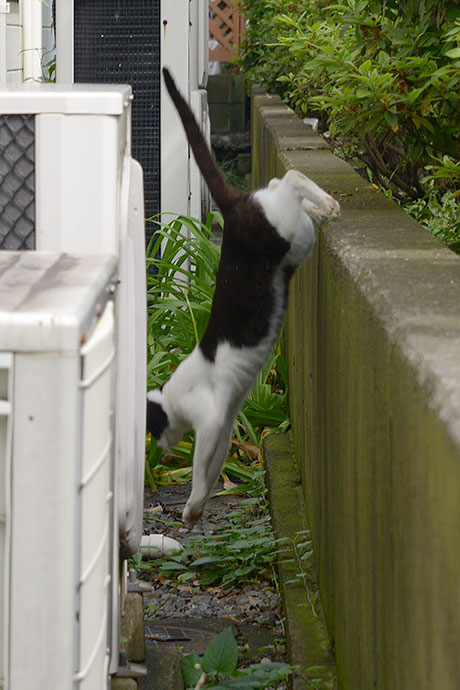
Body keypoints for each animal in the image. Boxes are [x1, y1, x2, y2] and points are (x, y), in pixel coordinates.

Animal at [148, 67, 342, 524]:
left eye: (151, 429)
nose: (160, 449)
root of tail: (234, 210)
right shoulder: (225, 425)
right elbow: (213, 466)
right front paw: (197, 507)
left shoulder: (211, 419)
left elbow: (200, 467)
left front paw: (190, 509)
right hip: (292, 236)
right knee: (278, 183)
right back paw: (323, 207)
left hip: (282, 231)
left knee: (289, 180)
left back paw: (328, 203)